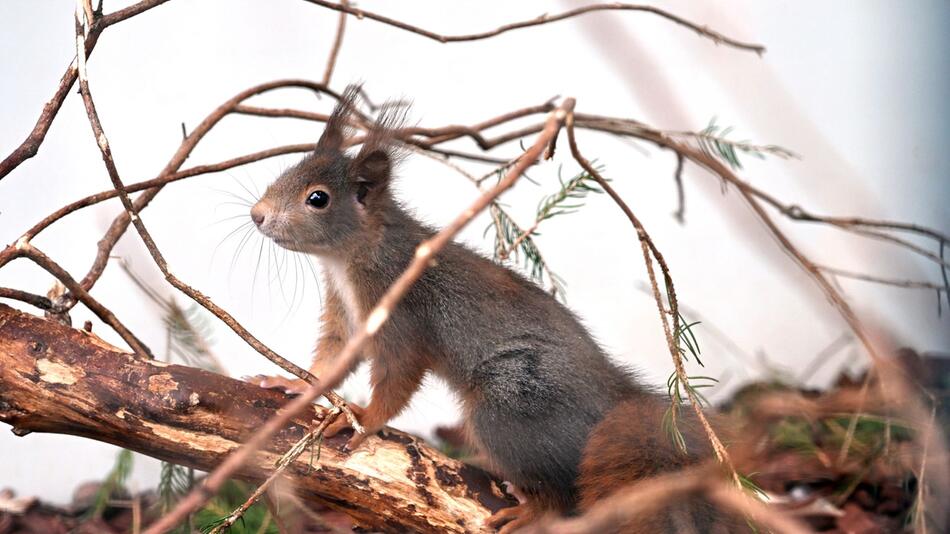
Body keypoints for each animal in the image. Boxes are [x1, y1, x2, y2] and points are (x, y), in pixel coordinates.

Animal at [249, 86, 740, 532]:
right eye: (288, 169)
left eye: (317, 198)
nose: (257, 214)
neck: (351, 257)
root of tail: (611, 399)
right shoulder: (347, 317)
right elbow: (332, 360)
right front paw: (292, 385)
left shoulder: (401, 312)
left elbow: (397, 377)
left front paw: (365, 419)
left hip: (510, 406)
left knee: (560, 493)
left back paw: (532, 511)